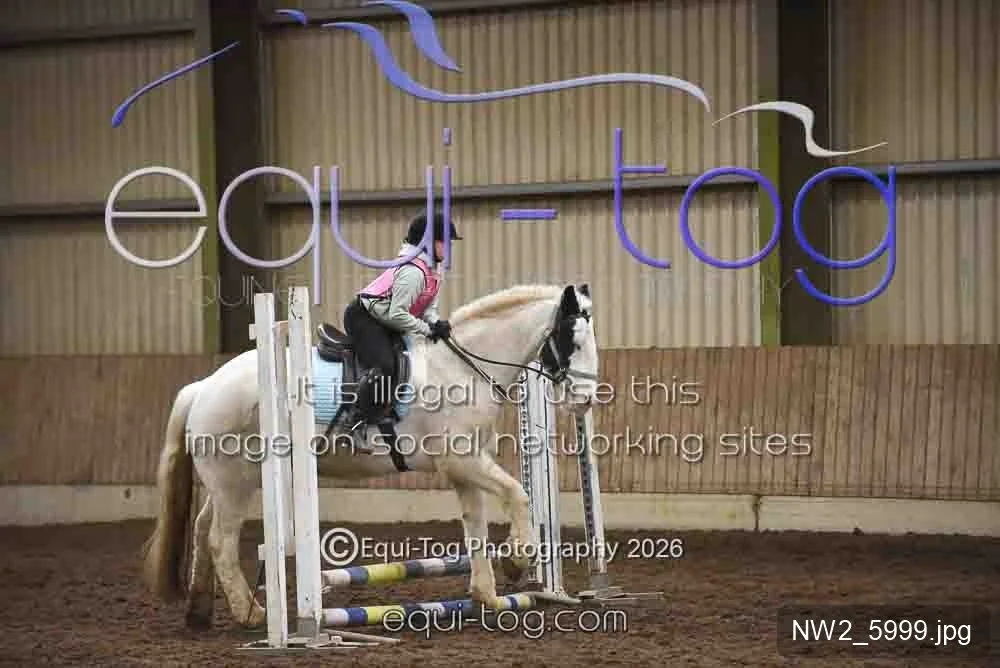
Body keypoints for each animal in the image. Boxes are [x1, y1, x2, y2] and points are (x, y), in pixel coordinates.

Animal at [140, 283, 600, 629]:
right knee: (220, 540)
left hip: (229, 482)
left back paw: (199, 612)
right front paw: (518, 562)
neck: (462, 369)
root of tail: (204, 387)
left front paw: (486, 596)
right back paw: (250, 613)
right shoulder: (462, 461)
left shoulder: (465, 468)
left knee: (202, 528)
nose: (586, 400)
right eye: (574, 341)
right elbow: (518, 495)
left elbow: (476, 527)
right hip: (236, 482)